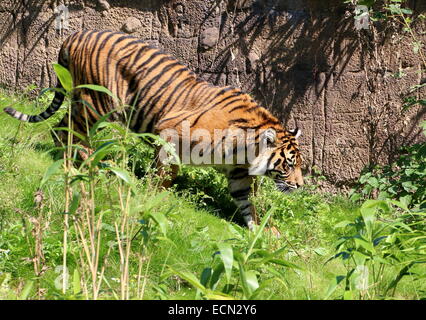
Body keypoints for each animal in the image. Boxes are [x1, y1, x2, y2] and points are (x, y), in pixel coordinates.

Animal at [2, 29, 302, 230]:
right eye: (288, 165)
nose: (300, 185)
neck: (245, 150)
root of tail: (76, 34)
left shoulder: (238, 175)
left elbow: (247, 203)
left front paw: (264, 232)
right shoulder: (171, 134)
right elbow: (167, 173)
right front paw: (154, 196)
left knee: (61, 127)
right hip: (99, 102)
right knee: (67, 129)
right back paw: (88, 162)